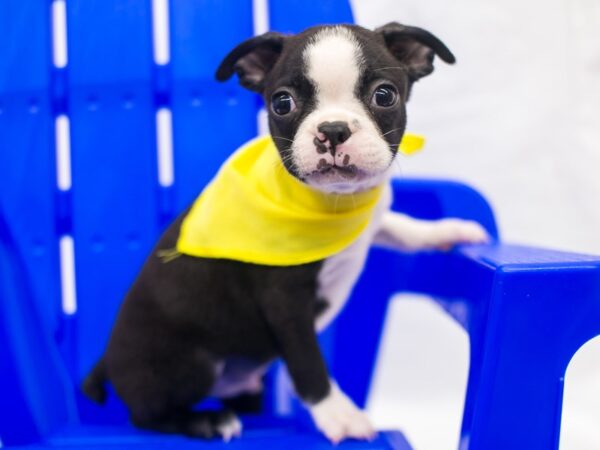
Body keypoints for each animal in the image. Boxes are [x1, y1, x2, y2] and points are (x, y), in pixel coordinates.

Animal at [83, 22, 488, 442]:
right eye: (282, 103)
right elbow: (308, 362)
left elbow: (397, 225)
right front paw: (338, 414)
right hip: (190, 362)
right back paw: (207, 421)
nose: (333, 130)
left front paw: (445, 231)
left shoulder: (369, 220)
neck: (336, 203)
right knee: (147, 414)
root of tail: (106, 361)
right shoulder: (285, 303)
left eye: (384, 95)